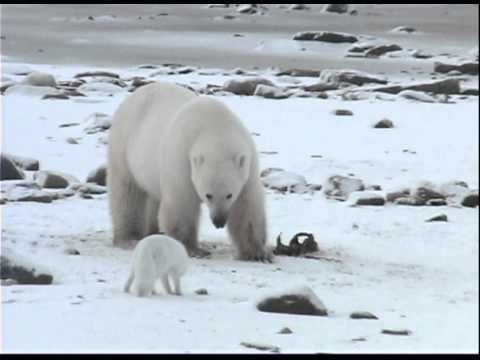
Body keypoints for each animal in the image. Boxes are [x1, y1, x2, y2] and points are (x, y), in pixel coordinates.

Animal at [107, 82, 270, 262]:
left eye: (229, 195)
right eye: (208, 195)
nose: (219, 221)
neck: (215, 128)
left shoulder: (248, 164)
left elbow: (247, 205)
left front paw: (256, 253)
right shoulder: (182, 158)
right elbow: (182, 203)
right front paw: (192, 248)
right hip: (123, 145)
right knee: (127, 192)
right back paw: (130, 237)